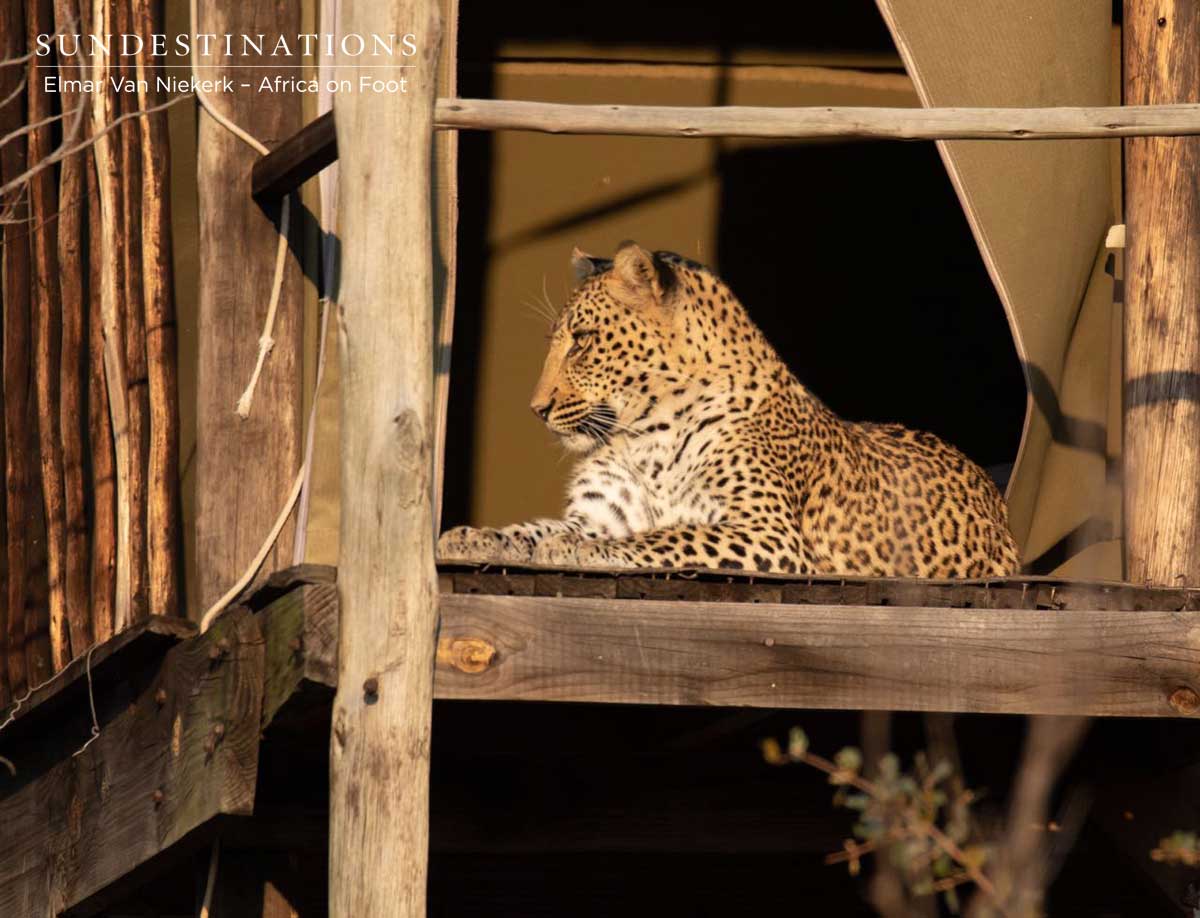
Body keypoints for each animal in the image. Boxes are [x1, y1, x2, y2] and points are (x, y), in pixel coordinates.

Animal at [438, 241, 1020, 577]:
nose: (536, 408)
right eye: (557, 341)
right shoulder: (601, 513)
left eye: (581, 342)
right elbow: (535, 528)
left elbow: (669, 535)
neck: (645, 434)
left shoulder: (770, 533)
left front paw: (580, 551)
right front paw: (477, 535)